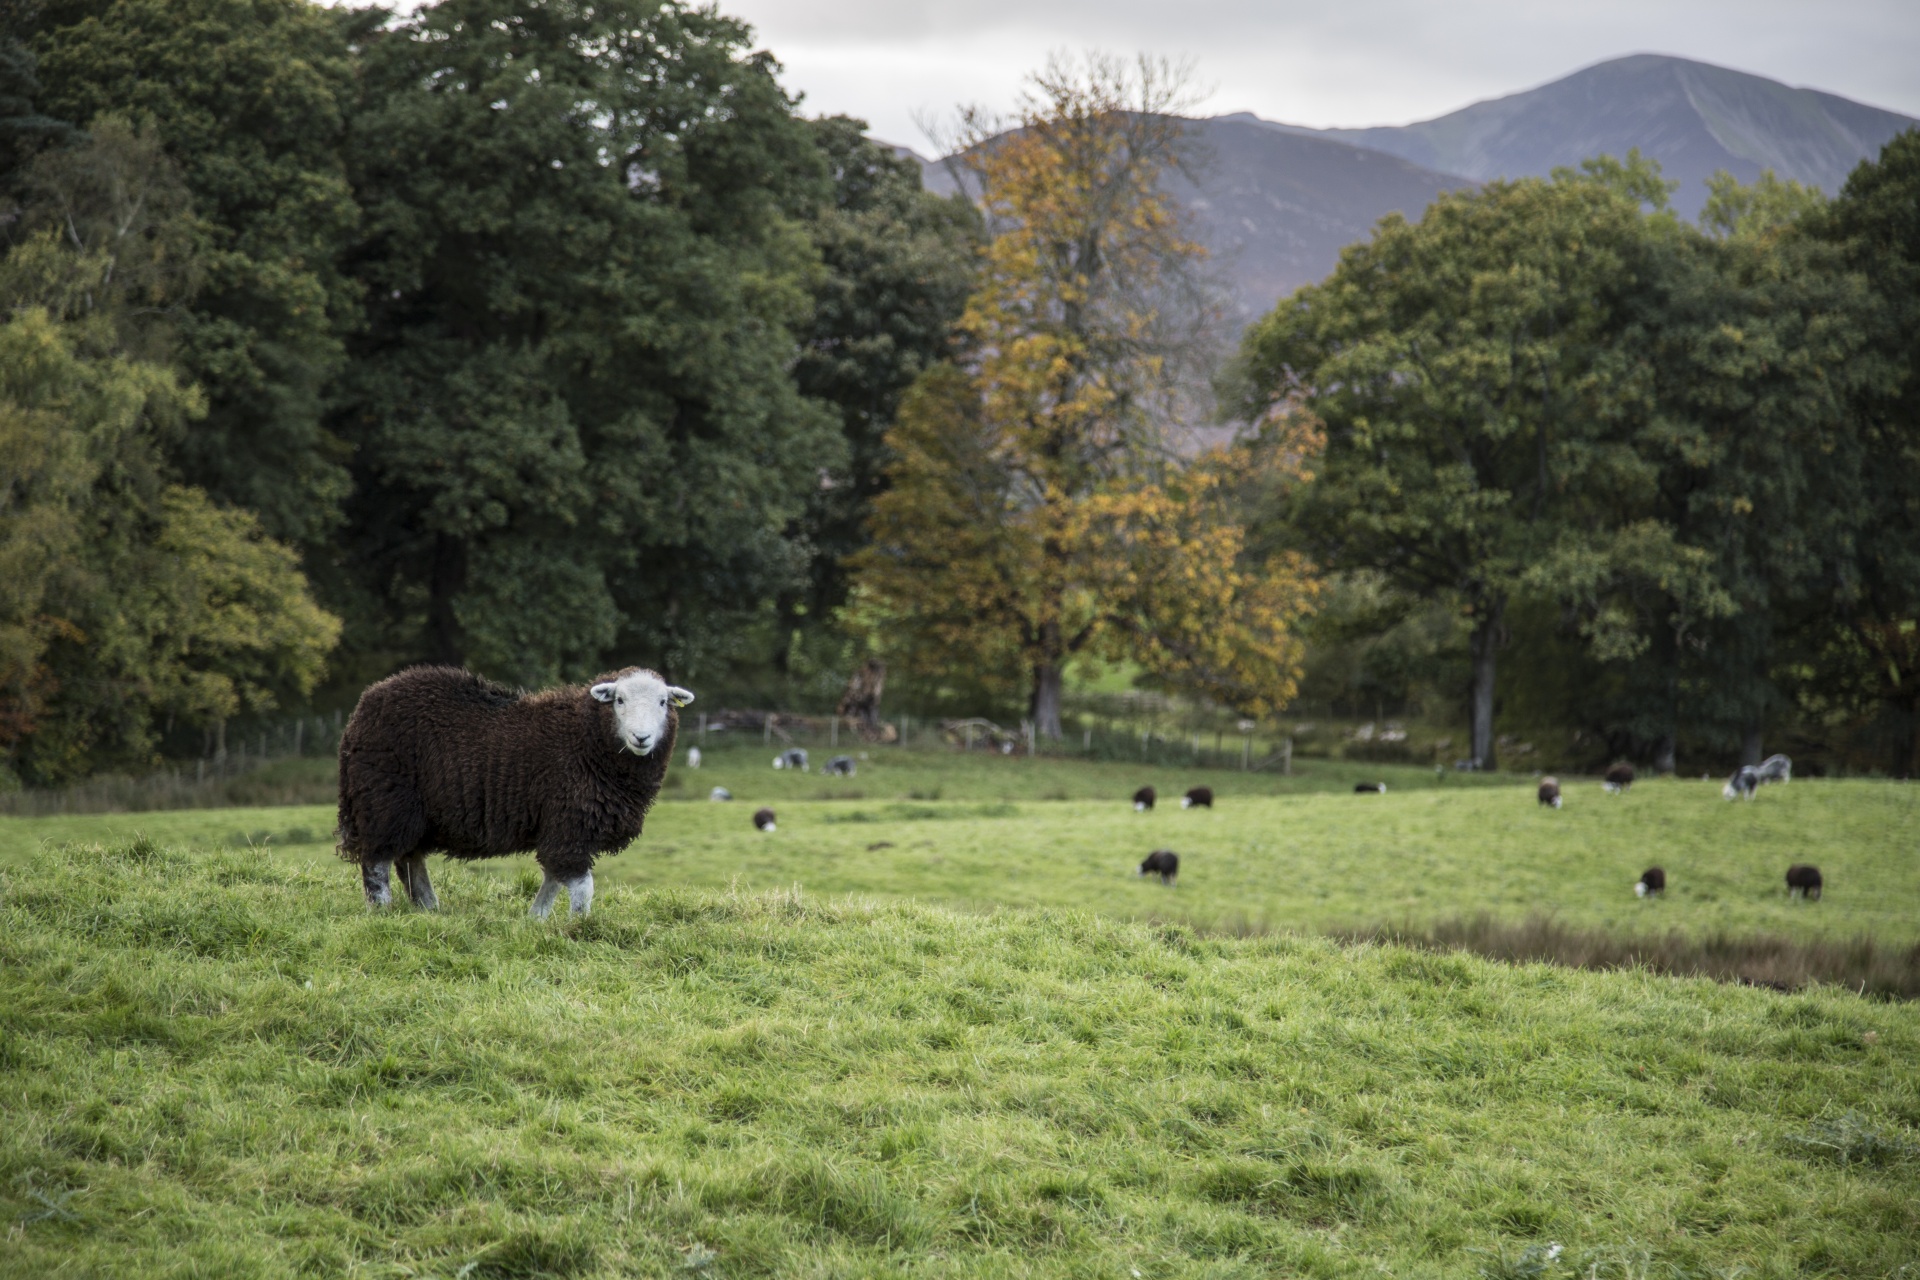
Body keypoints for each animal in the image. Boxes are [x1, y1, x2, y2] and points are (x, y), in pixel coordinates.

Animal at [341, 667, 695, 917]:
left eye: (663, 702)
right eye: (619, 700)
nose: (641, 737)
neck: (584, 739)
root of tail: (361, 710)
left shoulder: (563, 826)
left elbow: (552, 880)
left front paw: (536, 918)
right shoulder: (569, 823)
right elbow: (582, 887)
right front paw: (579, 925)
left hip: (412, 812)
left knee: (410, 858)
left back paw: (428, 907)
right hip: (385, 800)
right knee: (377, 862)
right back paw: (382, 910)